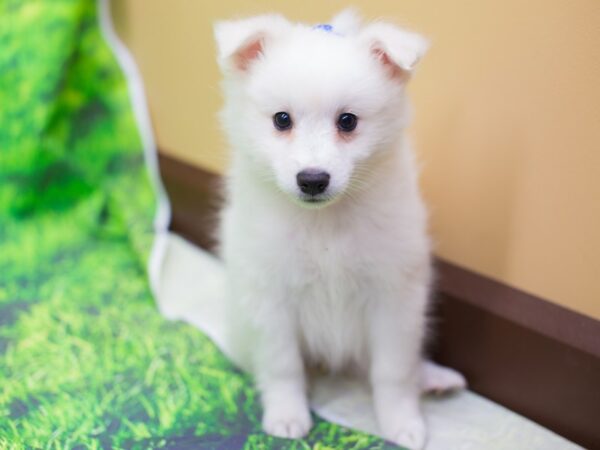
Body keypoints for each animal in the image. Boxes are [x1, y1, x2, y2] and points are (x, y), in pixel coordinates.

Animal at [213, 10, 466, 450]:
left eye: (347, 121)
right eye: (282, 120)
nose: (312, 179)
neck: (324, 224)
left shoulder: (394, 297)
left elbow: (393, 370)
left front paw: (401, 422)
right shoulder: (270, 297)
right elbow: (282, 365)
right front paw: (287, 415)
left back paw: (433, 378)